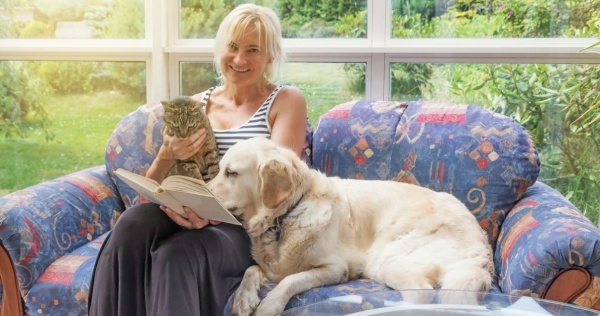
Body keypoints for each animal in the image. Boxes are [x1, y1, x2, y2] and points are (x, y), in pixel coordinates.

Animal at [209, 137, 494, 314]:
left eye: (231, 173)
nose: (205, 191)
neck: (287, 214)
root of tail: (482, 246)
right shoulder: (271, 267)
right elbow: (252, 270)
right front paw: (244, 299)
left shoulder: (335, 268)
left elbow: (290, 280)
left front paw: (269, 305)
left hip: (388, 258)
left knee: (421, 294)